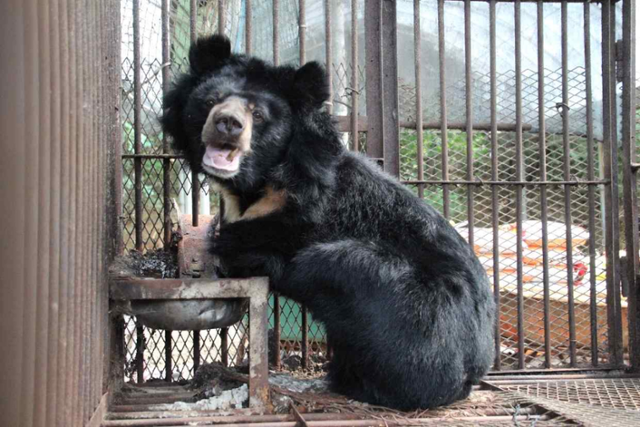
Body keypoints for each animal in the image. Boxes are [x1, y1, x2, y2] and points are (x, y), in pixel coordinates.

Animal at [160, 35, 496, 412]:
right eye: (211, 101)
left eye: (258, 115)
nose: (227, 123)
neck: (259, 183)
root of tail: (477, 368)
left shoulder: (301, 214)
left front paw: (231, 248)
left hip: (423, 319)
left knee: (335, 265)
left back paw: (353, 384)